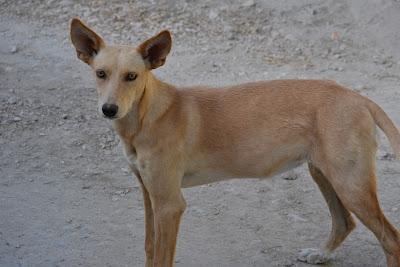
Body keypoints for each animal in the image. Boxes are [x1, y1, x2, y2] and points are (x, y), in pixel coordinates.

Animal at [70, 17, 400, 266]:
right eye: (101, 74)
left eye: (132, 76)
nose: (109, 109)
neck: (147, 116)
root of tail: (358, 97)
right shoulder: (150, 195)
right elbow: (150, 250)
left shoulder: (169, 204)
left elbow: (162, 257)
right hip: (324, 172)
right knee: (345, 222)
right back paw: (320, 254)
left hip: (350, 182)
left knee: (390, 238)